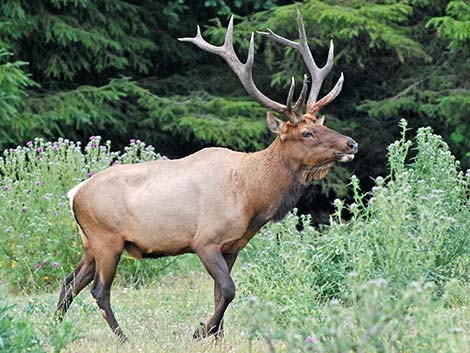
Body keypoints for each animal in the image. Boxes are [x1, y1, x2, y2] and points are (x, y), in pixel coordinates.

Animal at [54, 11, 356, 340]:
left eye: (321, 124)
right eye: (307, 133)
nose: (351, 144)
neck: (252, 198)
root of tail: (74, 193)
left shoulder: (233, 246)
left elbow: (218, 293)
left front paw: (216, 336)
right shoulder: (206, 241)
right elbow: (229, 289)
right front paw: (201, 330)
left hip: (90, 243)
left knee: (69, 282)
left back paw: (55, 326)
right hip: (107, 239)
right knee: (98, 290)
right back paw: (123, 337)